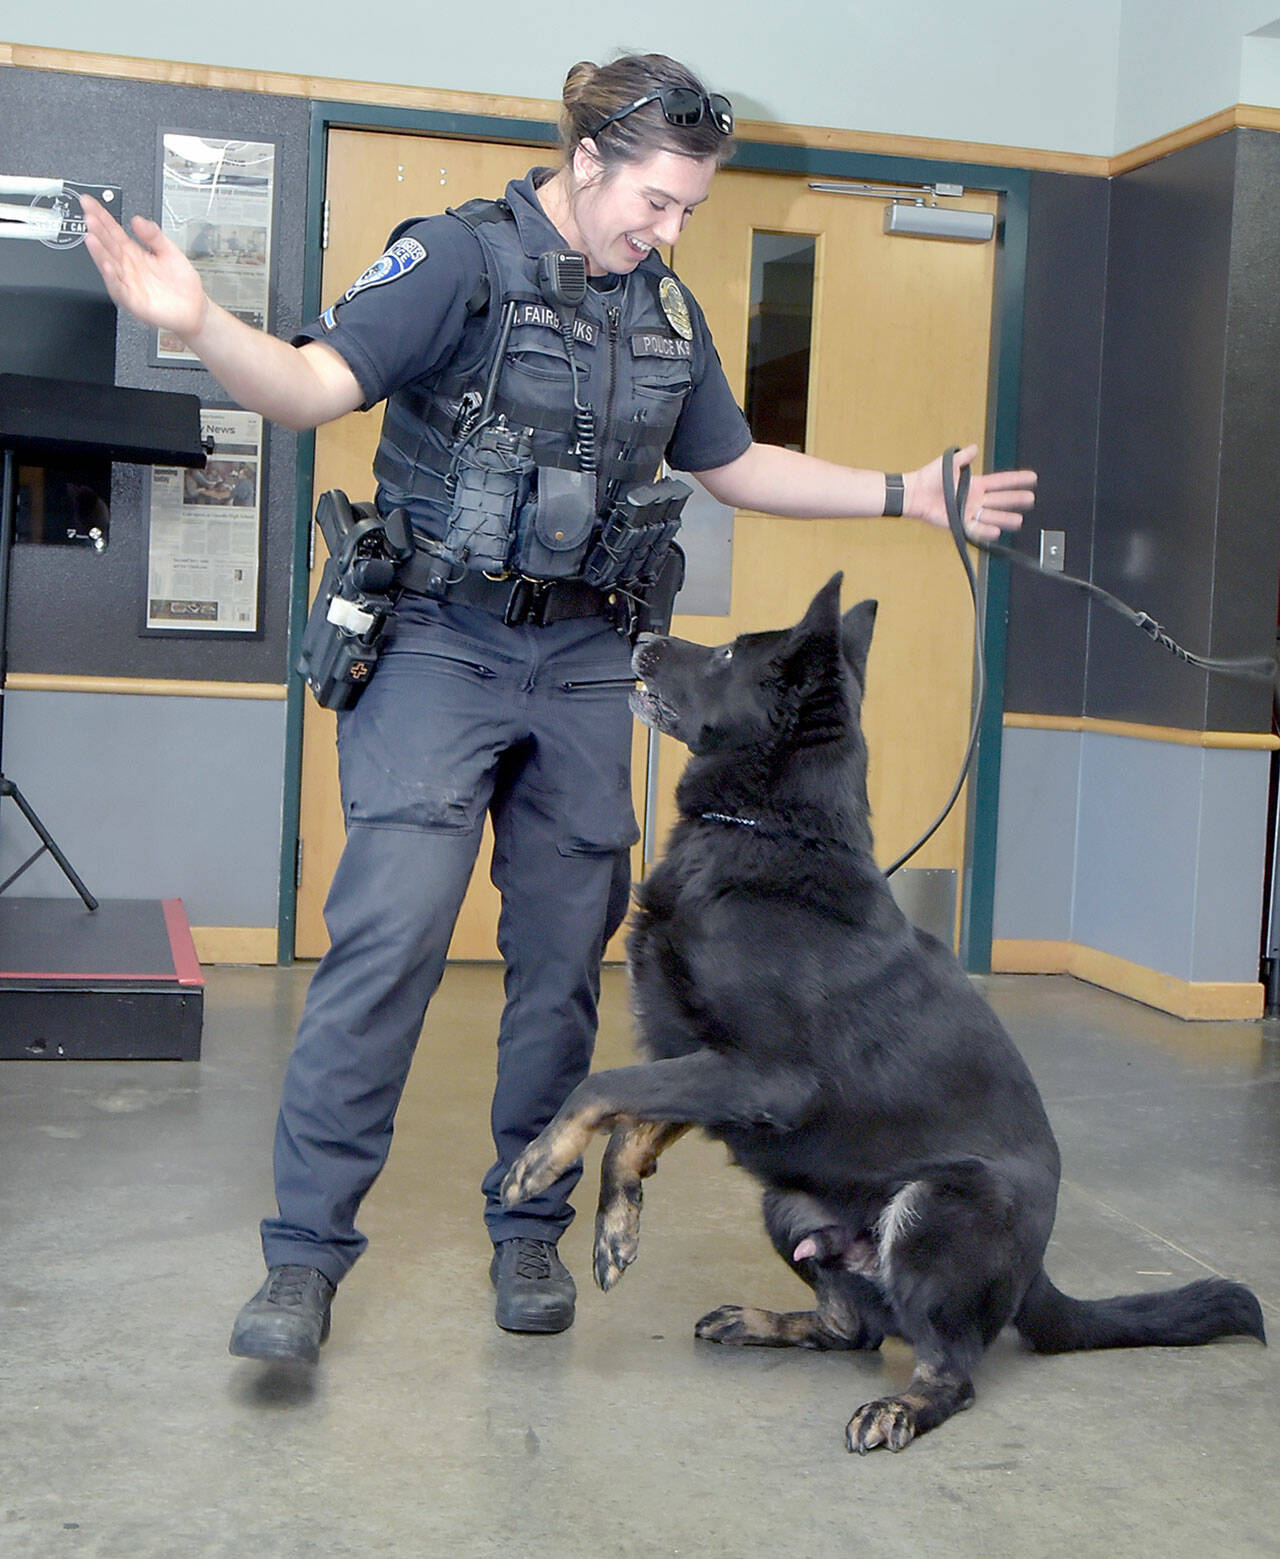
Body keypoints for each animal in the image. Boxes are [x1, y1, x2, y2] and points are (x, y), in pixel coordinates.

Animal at [495, 579, 1259, 1452]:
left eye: (724, 655)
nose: (643, 638)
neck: (769, 832)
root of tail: (1035, 1272)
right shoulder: (706, 1064)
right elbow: (632, 1124)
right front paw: (616, 1228)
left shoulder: (761, 1076)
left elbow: (601, 1087)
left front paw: (536, 1161)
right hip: (787, 1200)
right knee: (850, 1327)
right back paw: (765, 1320)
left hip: (931, 1210)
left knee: (950, 1368)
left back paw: (902, 1407)